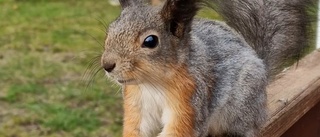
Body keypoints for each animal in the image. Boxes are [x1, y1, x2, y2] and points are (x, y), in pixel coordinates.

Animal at [100, 0, 312, 136]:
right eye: (110, 31)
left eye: (150, 41)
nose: (107, 65)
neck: (153, 82)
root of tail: (259, 60)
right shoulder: (137, 103)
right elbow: (136, 127)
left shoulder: (190, 100)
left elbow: (180, 129)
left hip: (243, 104)